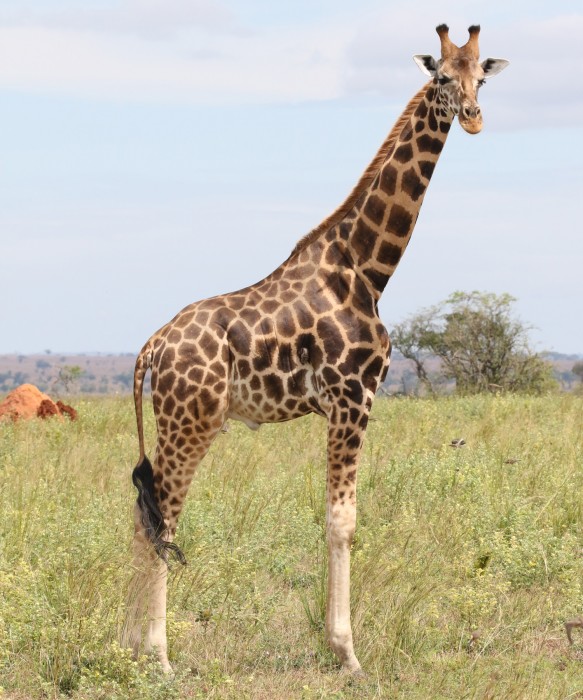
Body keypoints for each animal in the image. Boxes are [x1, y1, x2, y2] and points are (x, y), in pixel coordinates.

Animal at [122, 24, 506, 676]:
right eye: (440, 77)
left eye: (481, 74)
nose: (474, 118)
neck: (367, 269)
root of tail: (152, 346)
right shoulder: (353, 397)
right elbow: (342, 522)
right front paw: (347, 653)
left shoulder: (343, 404)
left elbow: (335, 518)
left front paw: (338, 645)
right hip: (190, 422)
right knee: (163, 518)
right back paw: (159, 657)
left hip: (177, 423)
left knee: (144, 512)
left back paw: (130, 648)